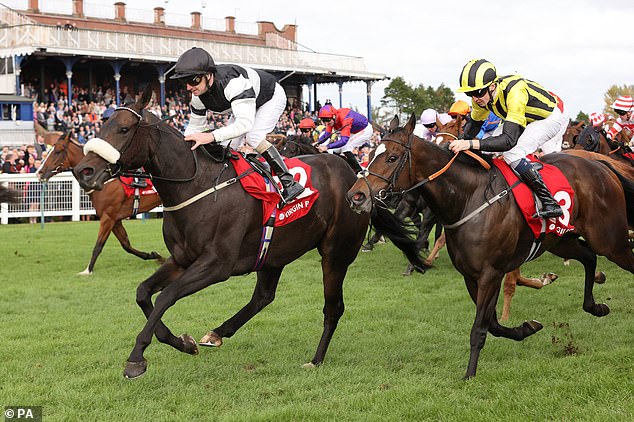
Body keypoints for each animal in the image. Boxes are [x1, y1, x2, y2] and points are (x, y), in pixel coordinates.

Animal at [36, 133, 163, 276]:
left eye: (57, 151)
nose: (39, 173)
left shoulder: (108, 217)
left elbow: (98, 246)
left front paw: (88, 270)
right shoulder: (115, 219)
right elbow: (126, 245)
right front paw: (154, 255)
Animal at [70, 87, 424, 378]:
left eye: (124, 129)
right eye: (100, 126)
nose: (83, 170)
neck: (197, 187)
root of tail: (357, 180)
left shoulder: (217, 265)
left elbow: (166, 297)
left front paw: (136, 358)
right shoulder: (182, 259)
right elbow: (144, 293)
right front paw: (182, 342)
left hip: (335, 253)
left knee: (333, 307)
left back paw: (316, 359)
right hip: (274, 252)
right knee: (263, 297)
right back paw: (217, 333)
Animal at [346, 114, 632, 380]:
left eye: (392, 158)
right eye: (371, 154)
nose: (356, 196)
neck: (467, 198)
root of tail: (600, 165)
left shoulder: (491, 273)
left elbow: (480, 327)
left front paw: (469, 374)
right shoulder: (471, 276)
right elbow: (492, 324)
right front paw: (527, 327)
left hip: (609, 239)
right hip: (561, 241)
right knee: (589, 257)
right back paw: (596, 306)